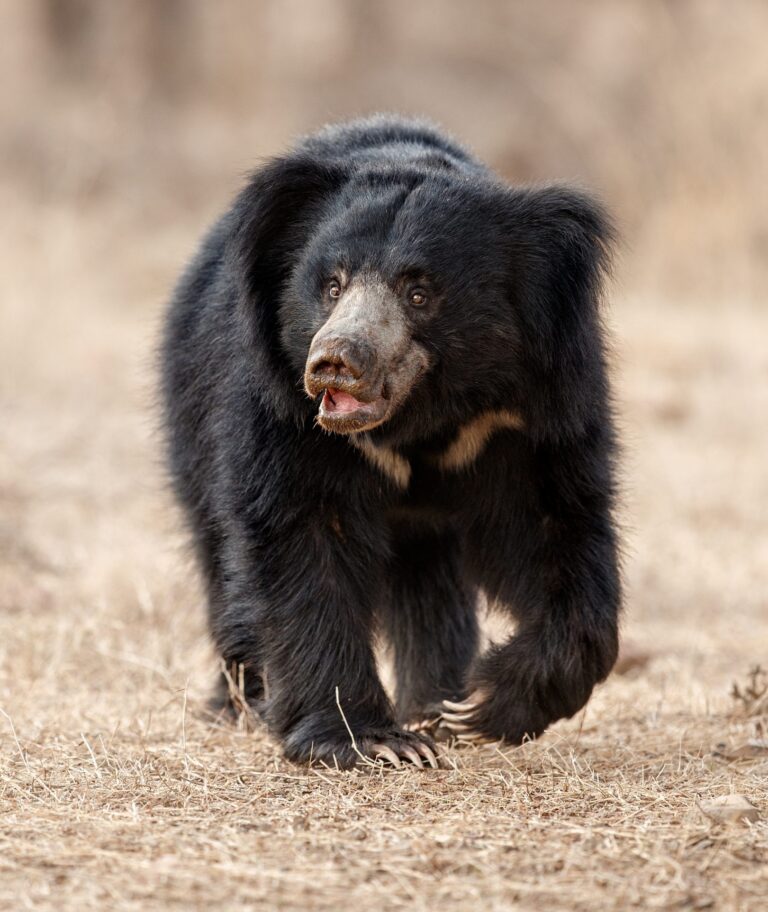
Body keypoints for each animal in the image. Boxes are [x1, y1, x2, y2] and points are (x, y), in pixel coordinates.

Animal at [161, 115, 621, 769]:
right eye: (331, 285)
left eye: (419, 292)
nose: (334, 363)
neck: (418, 419)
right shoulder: (282, 411)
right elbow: (303, 538)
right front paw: (374, 741)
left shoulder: (529, 410)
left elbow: (554, 526)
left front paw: (478, 706)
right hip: (191, 417)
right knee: (218, 555)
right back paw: (241, 702)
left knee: (430, 585)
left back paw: (434, 702)